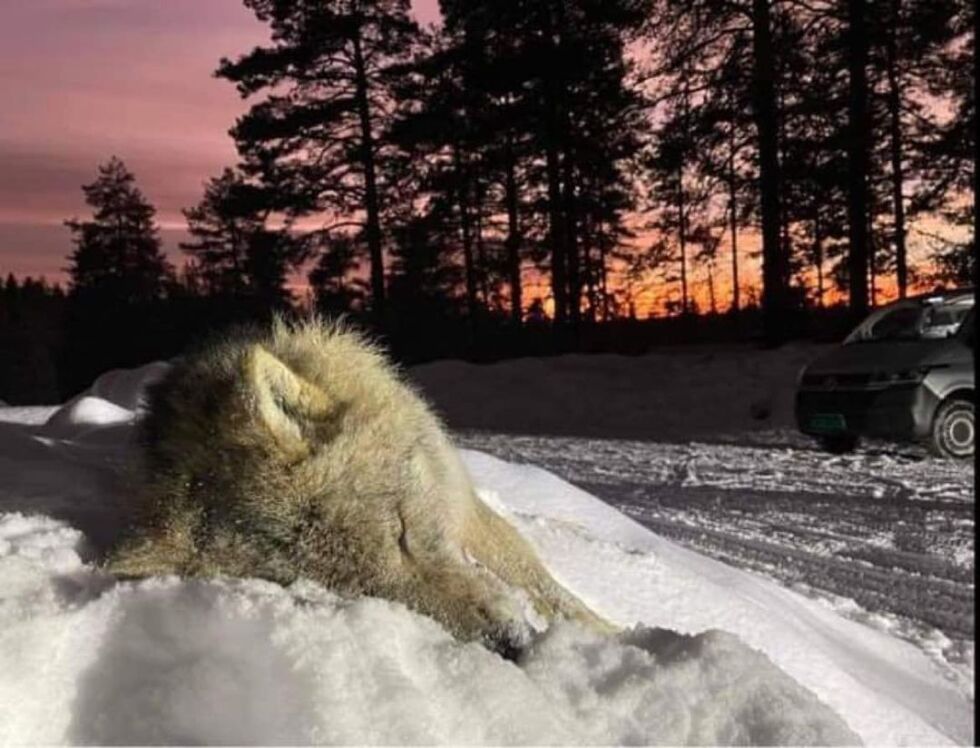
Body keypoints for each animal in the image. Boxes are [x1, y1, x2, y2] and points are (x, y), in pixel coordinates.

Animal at [107, 318, 604, 652]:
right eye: (362, 591)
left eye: (402, 533)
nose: (509, 646)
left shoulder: (461, 504)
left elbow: (545, 586)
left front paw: (611, 633)